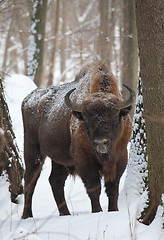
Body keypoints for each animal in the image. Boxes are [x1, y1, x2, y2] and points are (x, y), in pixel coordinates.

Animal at [21, 61, 135, 218]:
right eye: (85, 119)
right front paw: (97, 211)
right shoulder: (84, 160)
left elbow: (112, 189)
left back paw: (65, 213)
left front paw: (113, 210)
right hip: (33, 150)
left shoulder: (120, 158)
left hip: (59, 159)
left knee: (55, 180)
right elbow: (94, 188)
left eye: (115, 117)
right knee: (30, 180)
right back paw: (27, 215)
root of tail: (27, 99)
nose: (101, 143)